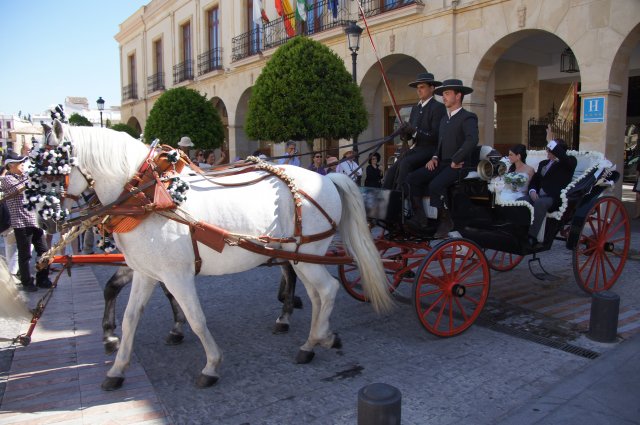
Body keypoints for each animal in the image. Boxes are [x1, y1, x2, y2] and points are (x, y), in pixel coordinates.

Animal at [42, 118, 392, 388]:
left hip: (307, 252)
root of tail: (328, 176)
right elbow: (130, 319)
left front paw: (210, 365)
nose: (46, 220)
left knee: (328, 289)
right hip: (299, 255)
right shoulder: (146, 272)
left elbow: (196, 319)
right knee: (316, 293)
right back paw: (313, 338)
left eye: (50, 168)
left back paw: (316, 337)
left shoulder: (176, 276)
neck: (147, 195)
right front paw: (117, 367)